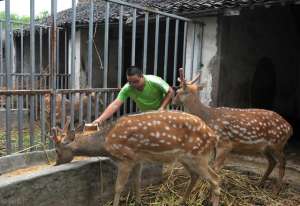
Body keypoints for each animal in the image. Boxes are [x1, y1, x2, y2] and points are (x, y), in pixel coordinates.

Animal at [51, 110, 220, 206]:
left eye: (57, 150)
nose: (55, 164)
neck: (106, 142)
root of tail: (213, 136)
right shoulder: (137, 159)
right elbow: (137, 183)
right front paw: (138, 202)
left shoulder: (125, 158)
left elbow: (118, 187)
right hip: (187, 157)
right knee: (195, 176)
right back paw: (181, 201)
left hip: (198, 155)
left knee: (215, 179)